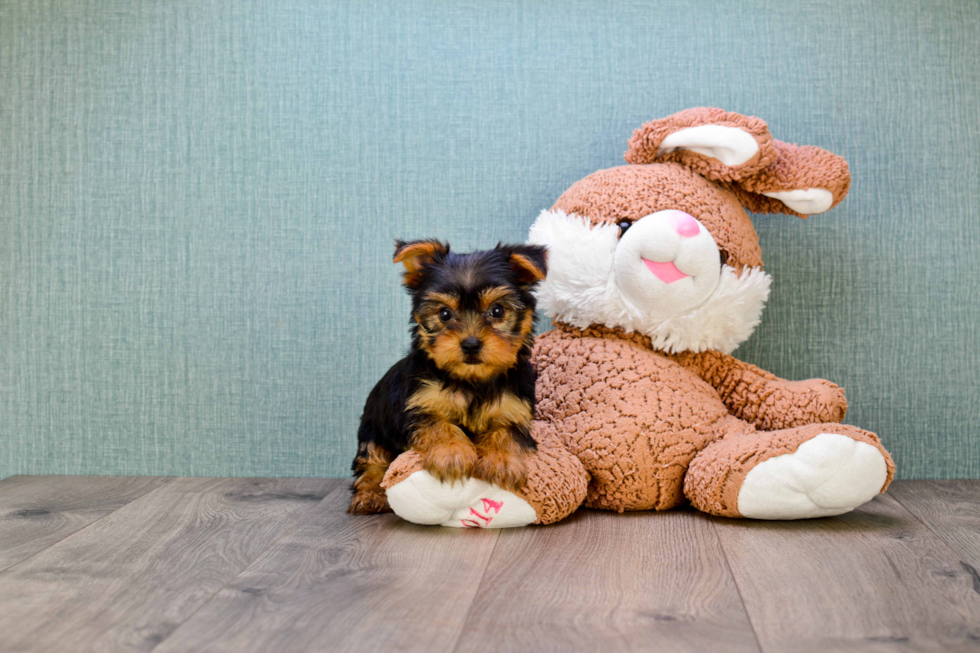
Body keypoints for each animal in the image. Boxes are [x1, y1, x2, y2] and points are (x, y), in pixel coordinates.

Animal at [348, 239, 548, 516]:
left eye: (497, 311)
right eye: (444, 314)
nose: (471, 344)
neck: (471, 381)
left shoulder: (514, 409)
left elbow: (506, 432)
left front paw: (502, 461)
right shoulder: (420, 405)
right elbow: (438, 425)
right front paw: (452, 454)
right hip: (373, 431)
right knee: (372, 463)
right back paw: (369, 495)